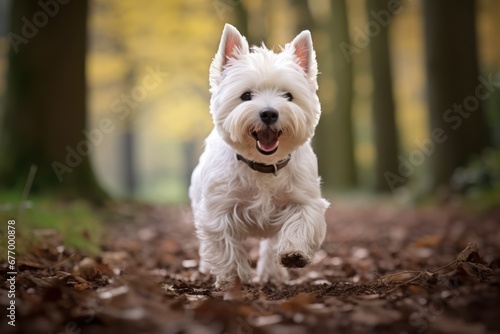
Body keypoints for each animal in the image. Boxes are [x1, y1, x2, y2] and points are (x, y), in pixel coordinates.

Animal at [188, 24, 328, 288]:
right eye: (245, 95)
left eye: (288, 95)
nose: (269, 113)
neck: (263, 165)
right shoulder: (218, 209)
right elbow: (225, 245)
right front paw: (234, 278)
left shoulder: (304, 199)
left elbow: (301, 222)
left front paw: (293, 254)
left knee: (270, 245)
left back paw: (273, 274)